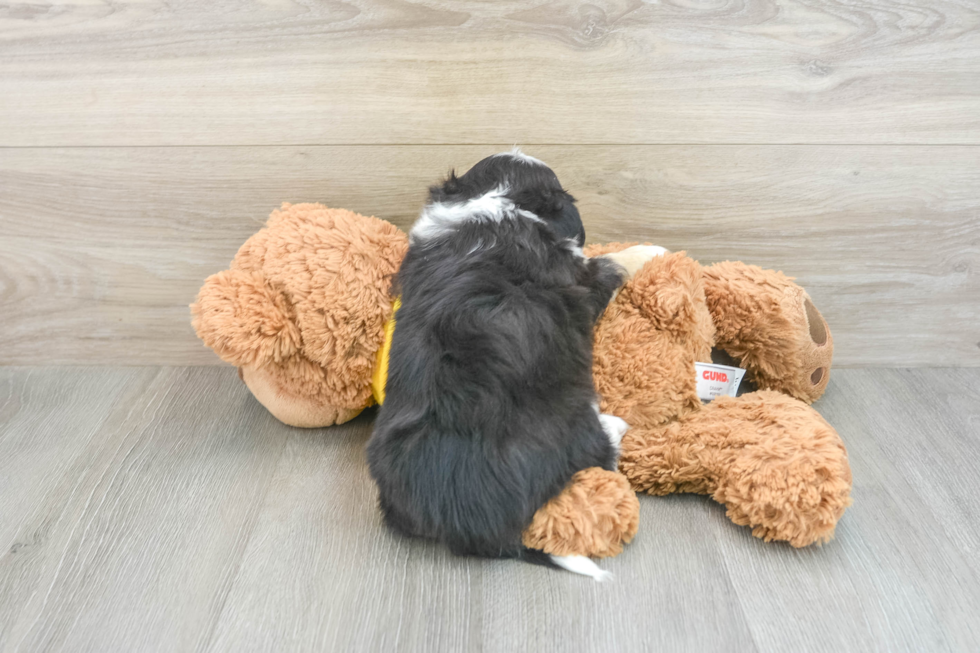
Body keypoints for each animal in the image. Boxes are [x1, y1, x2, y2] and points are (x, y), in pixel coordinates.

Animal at [366, 150, 628, 580]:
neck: (498, 200)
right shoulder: (583, 280)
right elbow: (609, 265)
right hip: (575, 417)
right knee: (600, 453)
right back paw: (615, 425)